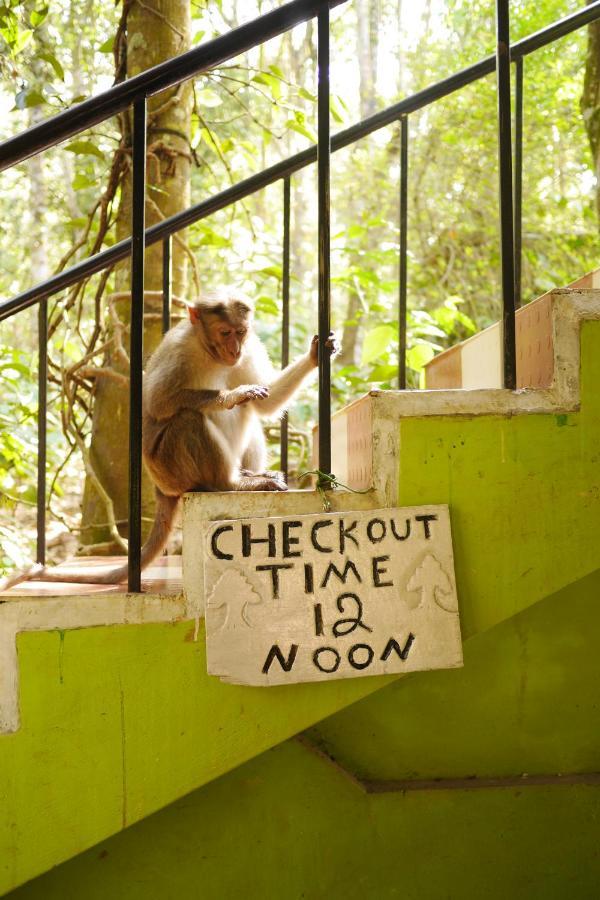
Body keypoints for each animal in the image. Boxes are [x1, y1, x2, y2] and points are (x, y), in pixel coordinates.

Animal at [0, 284, 338, 592]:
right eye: (225, 332)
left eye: (240, 332)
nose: (234, 351)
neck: (208, 351)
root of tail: (161, 488)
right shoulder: (179, 349)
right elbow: (158, 403)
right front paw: (232, 395)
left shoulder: (251, 348)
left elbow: (266, 403)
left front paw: (315, 355)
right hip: (171, 469)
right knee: (189, 419)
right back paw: (230, 483)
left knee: (249, 415)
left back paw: (248, 474)